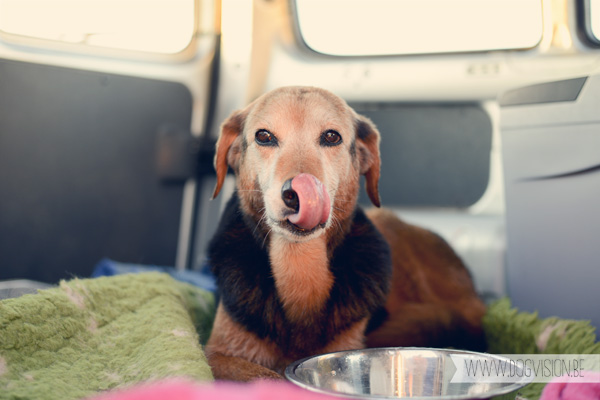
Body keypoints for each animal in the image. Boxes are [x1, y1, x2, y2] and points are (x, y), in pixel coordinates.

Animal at [204, 86, 486, 382]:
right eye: (263, 136)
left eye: (331, 137)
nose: (295, 194)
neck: (299, 265)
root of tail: (475, 298)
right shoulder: (216, 352)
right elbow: (264, 375)